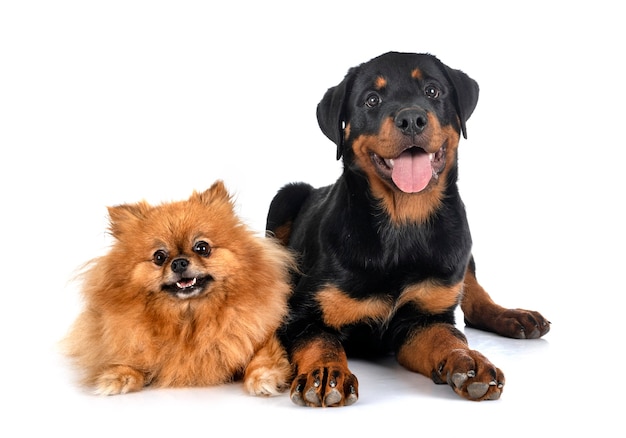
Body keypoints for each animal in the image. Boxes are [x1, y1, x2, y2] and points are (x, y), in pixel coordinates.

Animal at [63, 181, 294, 396]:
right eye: (159, 257)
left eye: (202, 247)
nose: (179, 263)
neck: (189, 318)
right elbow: (130, 359)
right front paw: (116, 377)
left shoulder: (261, 336)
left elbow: (262, 358)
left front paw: (263, 378)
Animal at [266, 52, 548, 408]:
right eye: (372, 99)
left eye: (432, 91)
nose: (412, 119)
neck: (403, 223)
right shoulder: (301, 314)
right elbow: (321, 339)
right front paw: (327, 373)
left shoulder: (423, 317)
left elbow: (448, 335)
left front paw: (469, 361)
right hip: (284, 199)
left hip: (461, 244)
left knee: (471, 293)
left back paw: (515, 317)